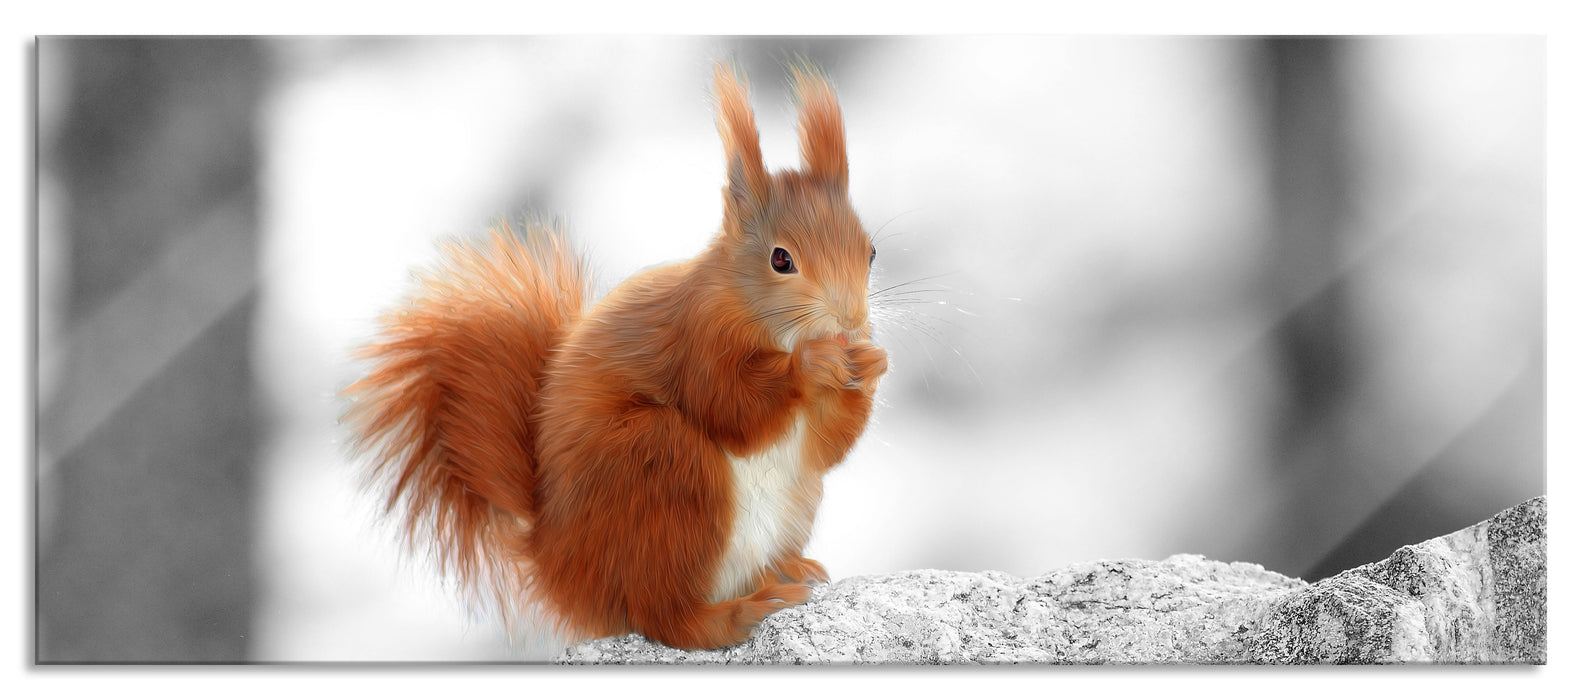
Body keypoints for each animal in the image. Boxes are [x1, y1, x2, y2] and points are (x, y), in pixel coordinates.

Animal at [342, 62, 887, 651]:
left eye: (871, 252)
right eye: (781, 259)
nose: (852, 321)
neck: (763, 320)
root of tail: (559, 568)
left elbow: (825, 448)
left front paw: (872, 365)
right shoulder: (695, 339)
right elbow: (731, 407)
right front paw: (812, 365)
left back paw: (786, 570)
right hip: (657, 468)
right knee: (664, 617)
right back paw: (736, 614)